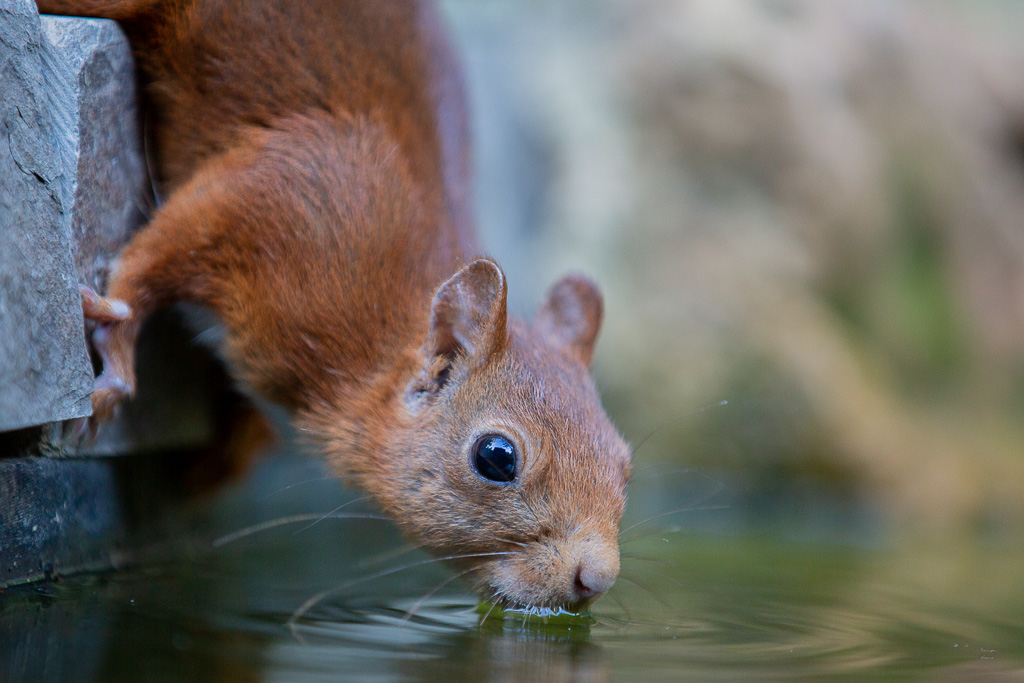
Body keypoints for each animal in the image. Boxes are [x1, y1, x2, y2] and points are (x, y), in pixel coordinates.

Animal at [41, 0, 630, 614]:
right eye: (496, 457)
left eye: (624, 461)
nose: (596, 579)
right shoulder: (285, 195)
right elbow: (153, 260)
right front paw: (115, 360)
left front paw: (221, 458)